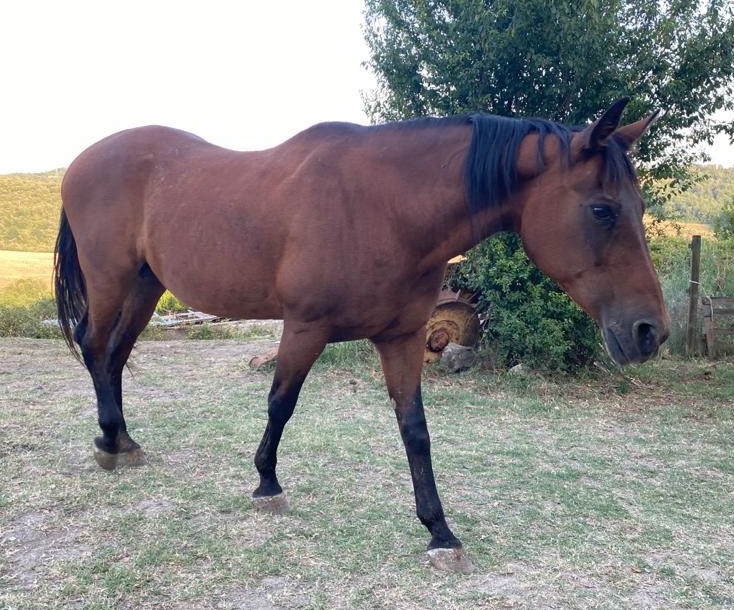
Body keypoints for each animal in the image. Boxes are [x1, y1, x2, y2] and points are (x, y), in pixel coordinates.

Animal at [54, 97, 669, 572]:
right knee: (94, 345)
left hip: (145, 285)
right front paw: (267, 484)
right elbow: (280, 403)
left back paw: (124, 440)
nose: (650, 332)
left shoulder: (402, 338)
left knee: (114, 354)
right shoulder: (304, 327)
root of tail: (80, 161)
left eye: (638, 206)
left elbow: (415, 430)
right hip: (111, 281)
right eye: (602, 210)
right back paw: (108, 443)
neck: (384, 208)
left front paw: (440, 532)